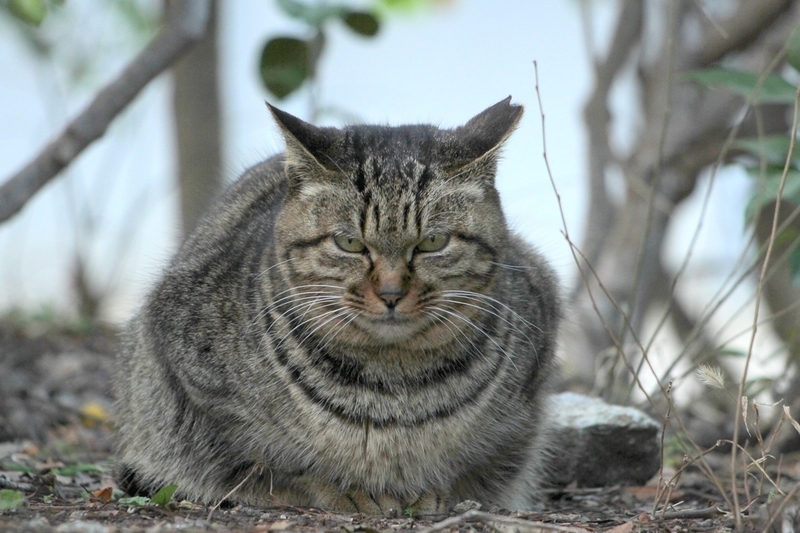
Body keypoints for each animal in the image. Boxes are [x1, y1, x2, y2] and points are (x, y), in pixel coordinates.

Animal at [114, 96, 564, 516]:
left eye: (433, 242)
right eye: (349, 243)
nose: (391, 293)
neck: (394, 387)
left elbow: (476, 465)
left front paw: (427, 490)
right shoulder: (193, 385)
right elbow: (276, 465)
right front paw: (348, 490)